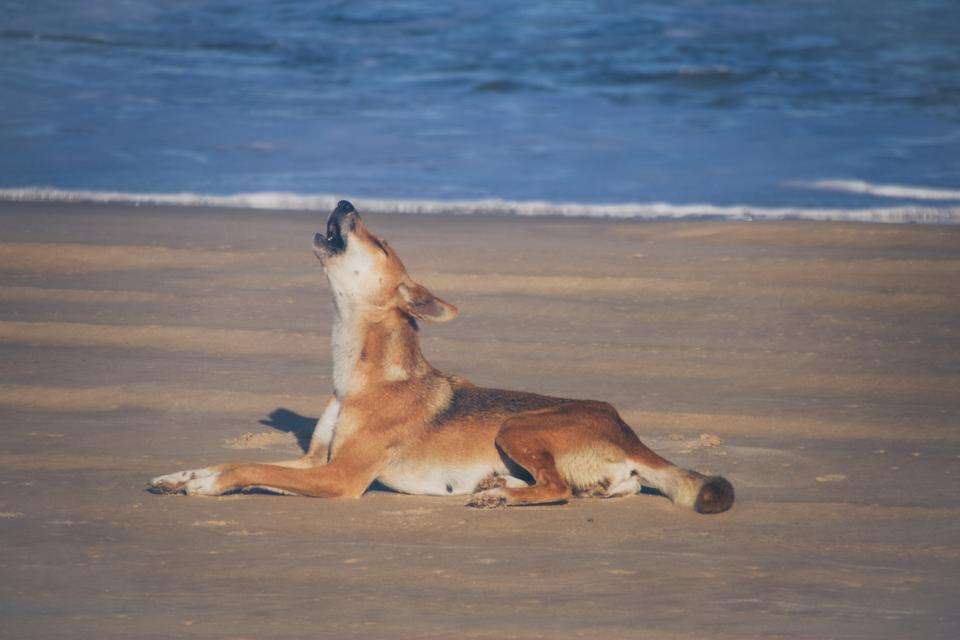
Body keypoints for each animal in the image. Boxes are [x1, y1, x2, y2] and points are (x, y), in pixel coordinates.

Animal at [152, 202, 736, 512]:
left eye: (380, 243)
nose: (345, 203)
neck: (362, 376)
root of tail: (628, 431)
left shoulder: (340, 477)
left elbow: (246, 465)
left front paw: (206, 484)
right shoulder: (316, 461)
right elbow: (235, 459)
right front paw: (182, 474)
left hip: (518, 426)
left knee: (556, 489)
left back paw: (502, 496)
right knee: (605, 486)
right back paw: (508, 486)